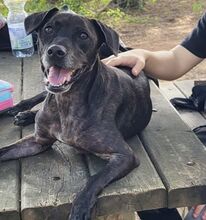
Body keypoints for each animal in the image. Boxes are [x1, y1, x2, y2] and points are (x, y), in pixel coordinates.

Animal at [0, 7, 152, 220]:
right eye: (48, 29)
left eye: (83, 35)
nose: (55, 51)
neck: (67, 101)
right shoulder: (38, 141)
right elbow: (4, 150)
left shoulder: (125, 155)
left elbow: (95, 178)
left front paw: (81, 205)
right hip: (44, 91)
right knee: (39, 97)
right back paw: (19, 111)